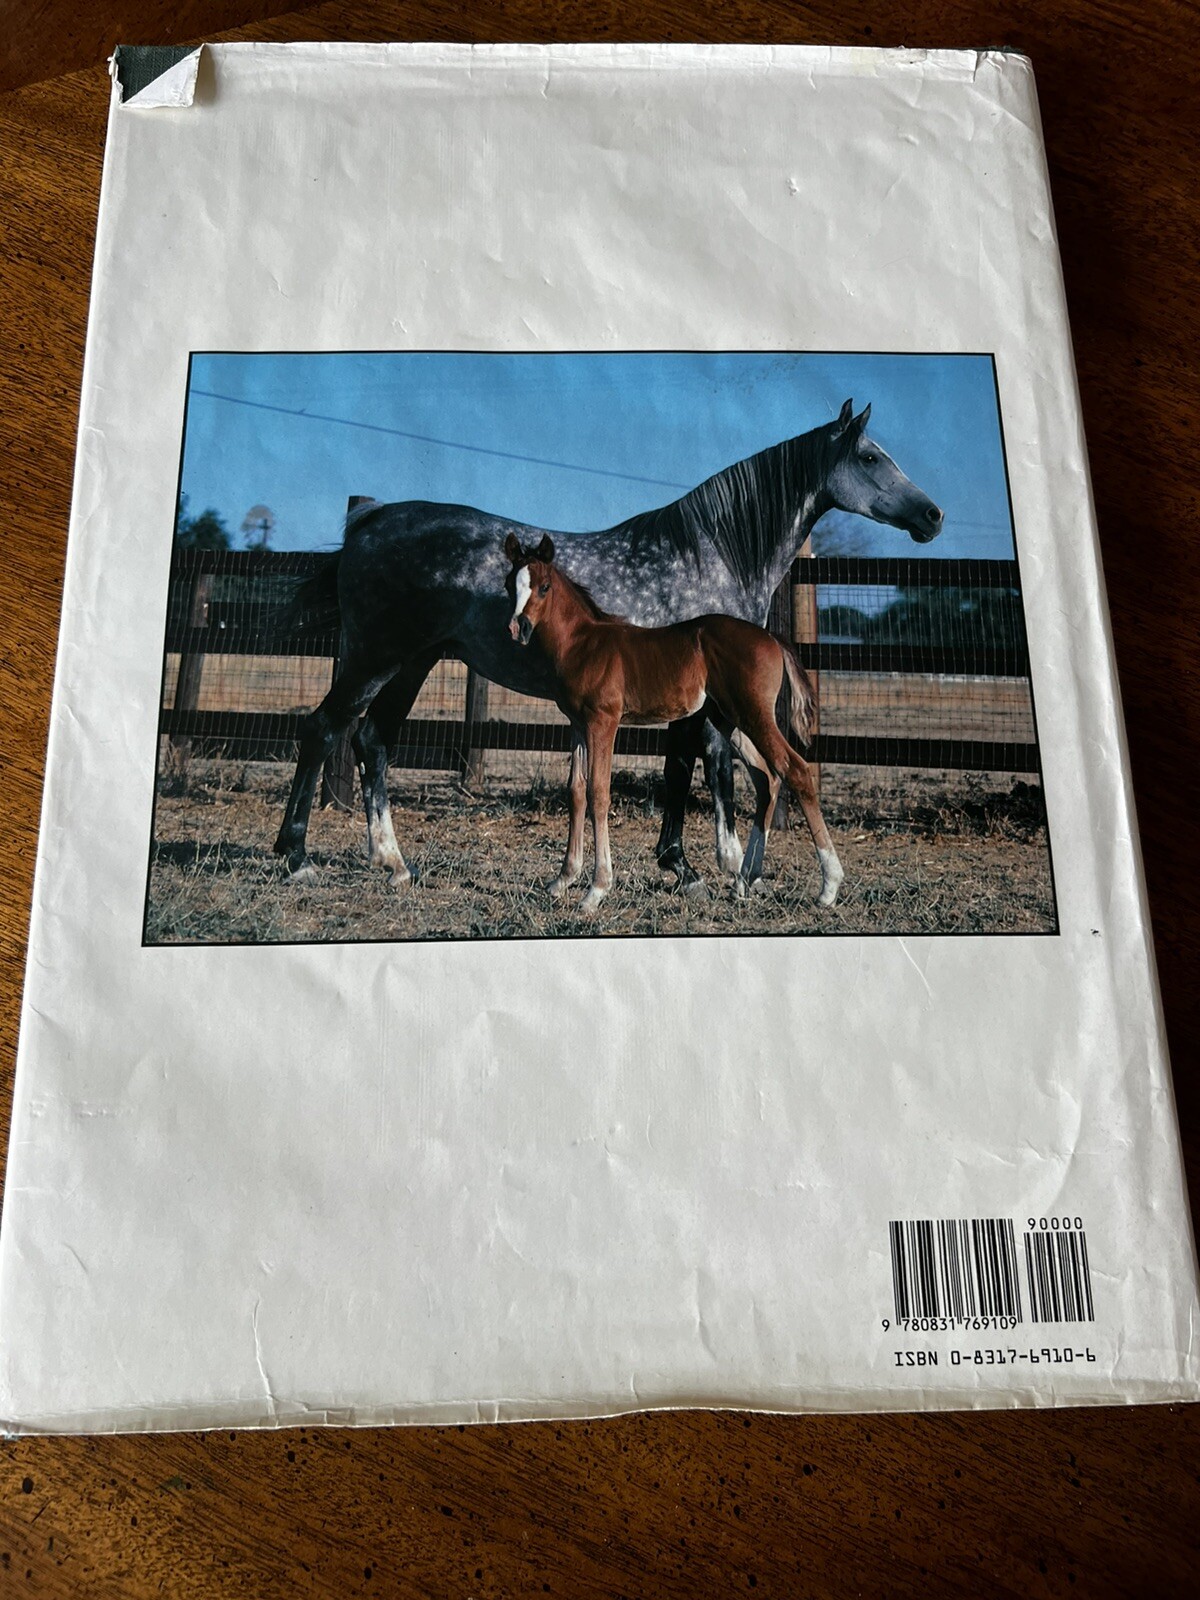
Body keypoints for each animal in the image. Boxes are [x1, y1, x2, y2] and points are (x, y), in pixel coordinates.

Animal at [503, 533, 842, 915]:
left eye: (544, 587)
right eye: (509, 585)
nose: (518, 627)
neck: (582, 643)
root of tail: (771, 638)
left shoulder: (603, 722)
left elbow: (598, 793)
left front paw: (596, 889)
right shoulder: (577, 725)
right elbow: (575, 791)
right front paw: (562, 880)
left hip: (754, 716)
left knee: (794, 770)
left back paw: (828, 887)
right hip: (732, 721)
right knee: (766, 778)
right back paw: (743, 881)